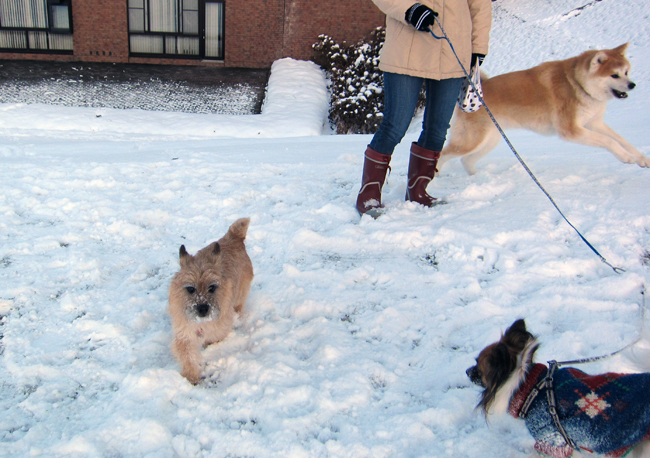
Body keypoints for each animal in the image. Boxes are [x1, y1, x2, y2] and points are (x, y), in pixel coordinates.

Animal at [167, 216, 253, 384]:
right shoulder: (184, 332)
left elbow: (213, 338)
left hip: (240, 295)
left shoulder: (219, 330)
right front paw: (191, 375)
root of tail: (234, 237)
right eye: (190, 289)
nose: (202, 309)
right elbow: (187, 355)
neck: (202, 324)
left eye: (212, 287)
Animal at [438, 43, 644, 175]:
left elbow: (621, 140)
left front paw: (642, 159)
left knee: (466, 160)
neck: (576, 83)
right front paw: (626, 158)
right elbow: (609, 141)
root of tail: (473, 92)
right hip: (471, 141)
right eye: (614, 75)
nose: (632, 85)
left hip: (489, 140)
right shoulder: (572, 131)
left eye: (626, 72)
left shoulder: (594, 123)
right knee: (444, 155)